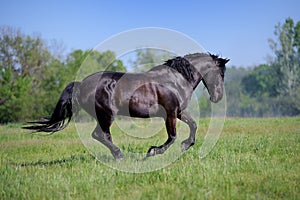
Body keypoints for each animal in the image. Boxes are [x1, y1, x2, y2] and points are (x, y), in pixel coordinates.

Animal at [24, 52, 230, 159]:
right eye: (221, 73)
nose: (218, 97)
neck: (175, 80)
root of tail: (81, 84)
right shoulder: (171, 113)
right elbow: (172, 136)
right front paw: (153, 151)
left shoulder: (179, 112)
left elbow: (193, 125)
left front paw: (186, 145)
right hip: (107, 114)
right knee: (100, 135)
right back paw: (119, 155)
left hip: (103, 116)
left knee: (100, 135)